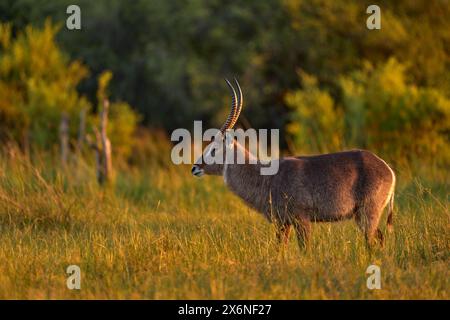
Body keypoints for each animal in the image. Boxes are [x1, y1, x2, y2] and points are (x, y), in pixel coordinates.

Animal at [192, 79, 396, 249]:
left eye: (213, 149)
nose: (195, 167)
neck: (265, 177)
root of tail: (388, 169)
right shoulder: (282, 223)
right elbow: (280, 249)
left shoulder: (301, 220)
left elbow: (304, 249)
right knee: (380, 238)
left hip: (367, 214)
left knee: (373, 240)